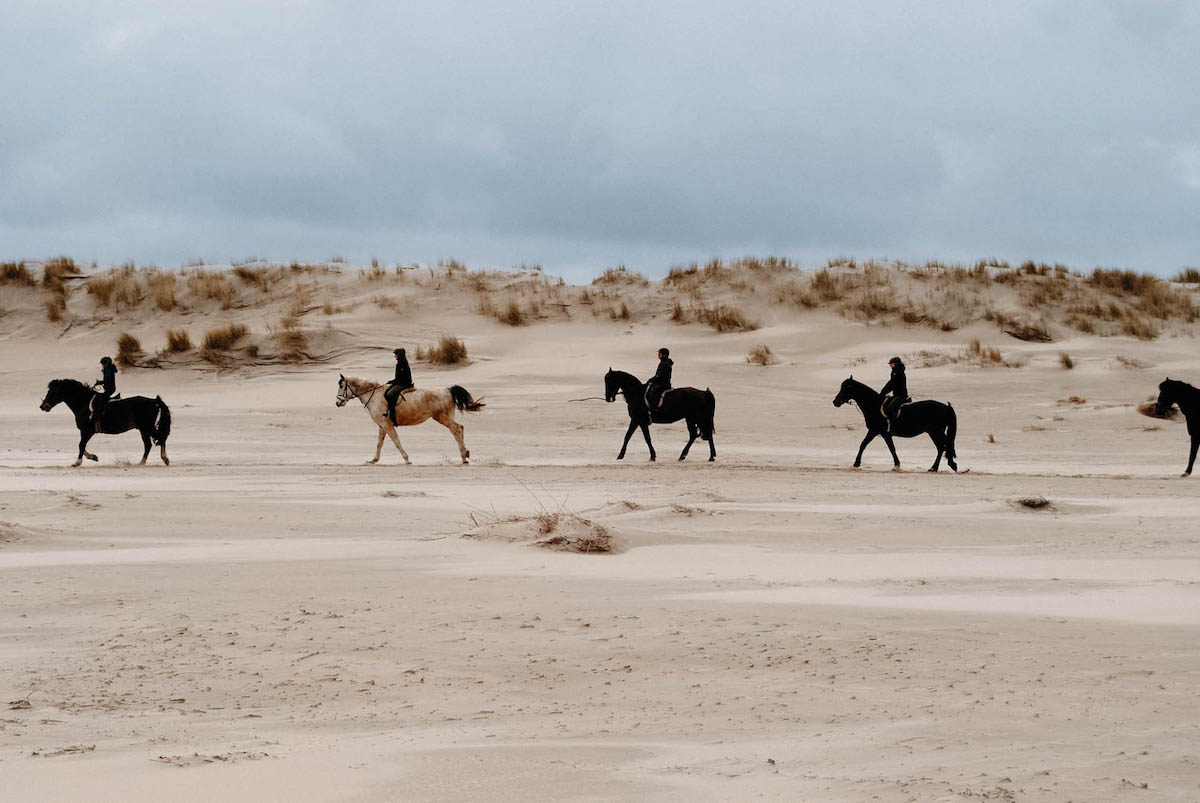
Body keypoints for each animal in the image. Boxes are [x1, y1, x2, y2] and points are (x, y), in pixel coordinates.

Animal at [39, 379, 171, 465]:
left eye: (52, 392)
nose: (43, 406)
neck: (83, 403)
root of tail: (155, 401)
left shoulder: (87, 430)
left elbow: (81, 444)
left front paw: (77, 462)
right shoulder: (85, 431)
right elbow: (82, 445)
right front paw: (93, 457)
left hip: (147, 428)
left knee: (161, 438)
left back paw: (165, 459)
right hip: (143, 430)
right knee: (148, 445)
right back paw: (141, 463)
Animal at [336, 376, 484, 463]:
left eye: (341, 386)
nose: (338, 403)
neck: (375, 396)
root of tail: (447, 390)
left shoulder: (387, 425)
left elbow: (396, 442)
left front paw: (406, 459)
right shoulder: (382, 426)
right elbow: (379, 443)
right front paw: (374, 459)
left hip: (442, 417)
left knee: (457, 429)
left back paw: (464, 456)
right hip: (447, 416)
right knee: (460, 428)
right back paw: (466, 453)